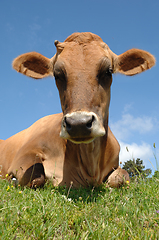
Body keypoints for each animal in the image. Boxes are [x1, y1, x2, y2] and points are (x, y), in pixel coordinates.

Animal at [0, 32, 155, 188]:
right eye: (57, 75)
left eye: (108, 71)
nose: (78, 124)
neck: (90, 167)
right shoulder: (25, 153)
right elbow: (36, 174)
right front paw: (13, 179)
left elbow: (122, 176)